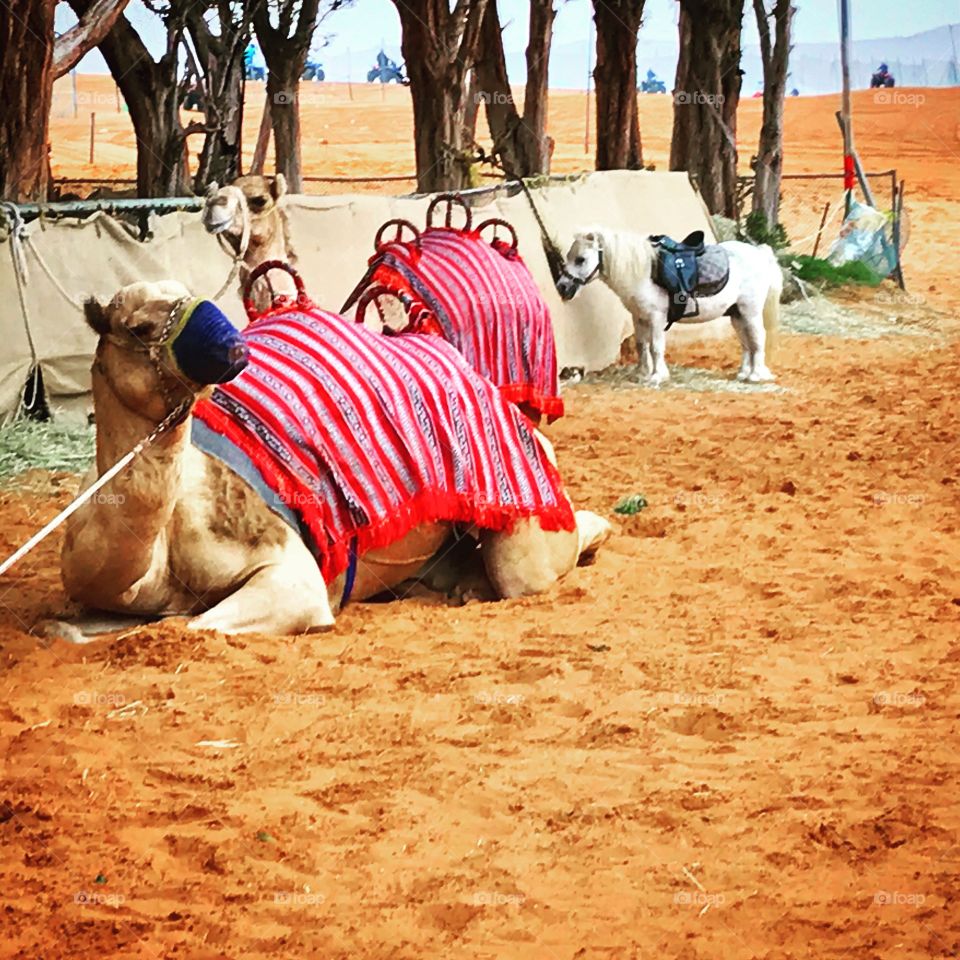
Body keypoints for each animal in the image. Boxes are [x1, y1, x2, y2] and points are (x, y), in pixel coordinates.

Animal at [61, 281, 611, 635]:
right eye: (139, 326)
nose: (230, 346)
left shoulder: (291, 571)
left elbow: (195, 626)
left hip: (525, 494)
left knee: (531, 566)